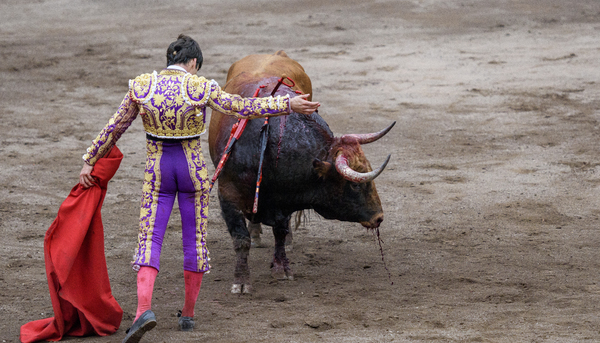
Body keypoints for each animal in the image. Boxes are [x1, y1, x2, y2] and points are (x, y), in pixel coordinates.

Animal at [207, 51, 394, 296]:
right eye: (354, 184)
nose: (378, 217)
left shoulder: (284, 199)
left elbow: (280, 231)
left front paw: (281, 269)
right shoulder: (228, 196)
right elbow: (241, 240)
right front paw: (241, 281)